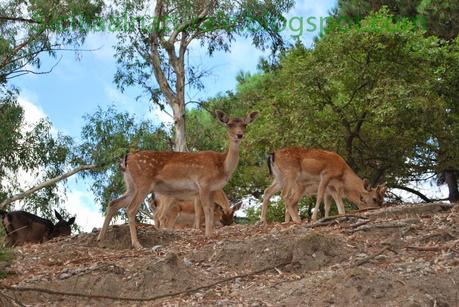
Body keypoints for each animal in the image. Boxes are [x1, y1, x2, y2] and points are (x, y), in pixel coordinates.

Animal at [97, 110, 258, 250]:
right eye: (229, 124)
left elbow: (211, 210)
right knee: (130, 209)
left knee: (113, 203)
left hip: (131, 185)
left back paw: (101, 239)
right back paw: (137, 244)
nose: (239, 135)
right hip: (143, 183)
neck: (222, 166)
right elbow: (207, 210)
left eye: (245, 124)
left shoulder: (212, 189)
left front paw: (210, 233)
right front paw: (208, 235)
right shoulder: (203, 183)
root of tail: (126, 158)